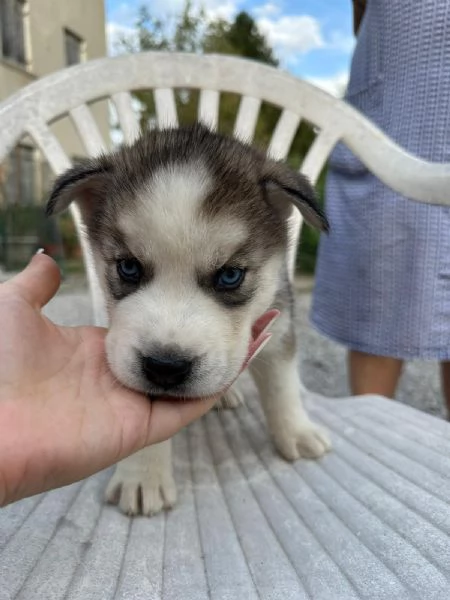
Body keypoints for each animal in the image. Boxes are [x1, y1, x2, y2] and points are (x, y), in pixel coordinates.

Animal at [46, 123, 330, 516]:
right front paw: (143, 476)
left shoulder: (278, 322)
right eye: (128, 267)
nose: (165, 367)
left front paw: (296, 431)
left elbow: (282, 386)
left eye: (230, 275)